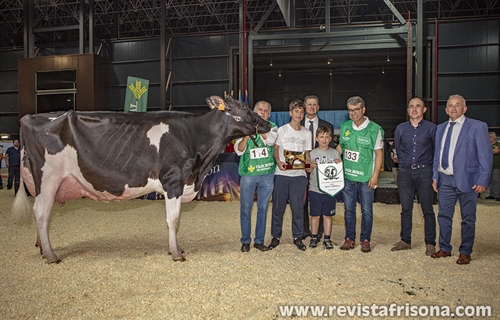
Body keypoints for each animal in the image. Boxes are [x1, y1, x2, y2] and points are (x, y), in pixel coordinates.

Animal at [12, 94, 270, 262]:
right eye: (245, 108)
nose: (267, 123)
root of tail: (29, 118)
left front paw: (178, 249)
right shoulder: (173, 181)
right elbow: (173, 219)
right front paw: (176, 253)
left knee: (41, 213)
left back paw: (42, 248)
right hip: (48, 178)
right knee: (42, 213)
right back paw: (51, 255)